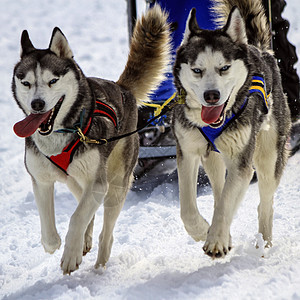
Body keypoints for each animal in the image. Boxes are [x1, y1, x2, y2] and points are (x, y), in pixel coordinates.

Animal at [11, 5, 170, 274]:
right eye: (26, 82)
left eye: (52, 80)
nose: (37, 104)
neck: (59, 135)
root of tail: (122, 89)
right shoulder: (41, 180)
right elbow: (50, 229)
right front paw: (57, 244)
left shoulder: (97, 184)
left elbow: (76, 218)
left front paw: (70, 255)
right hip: (76, 181)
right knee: (89, 212)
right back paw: (85, 240)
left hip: (115, 186)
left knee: (106, 231)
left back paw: (100, 263)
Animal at [171, 0, 290, 258]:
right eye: (197, 70)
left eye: (224, 68)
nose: (211, 95)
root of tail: (261, 50)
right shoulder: (188, 152)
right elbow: (188, 209)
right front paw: (202, 230)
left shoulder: (241, 162)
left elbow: (227, 203)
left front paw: (216, 240)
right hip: (212, 159)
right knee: (219, 192)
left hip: (268, 157)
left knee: (264, 204)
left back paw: (264, 243)